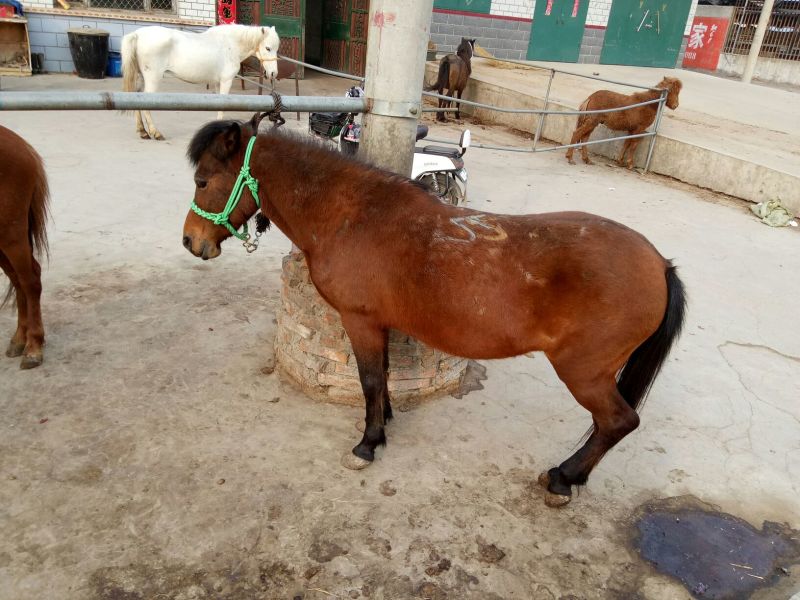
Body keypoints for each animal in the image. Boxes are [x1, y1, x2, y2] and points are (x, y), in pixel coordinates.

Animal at [121, 24, 280, 141]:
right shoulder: (226, 81)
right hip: (152, 78)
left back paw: (143, 131)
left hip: (140, 78)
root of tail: (137, 34)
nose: (273, 73)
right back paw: (155, 132)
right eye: (268, 48)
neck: (231, 44)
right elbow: (222, 107)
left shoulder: (217, 83)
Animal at [181, 114, 686, 507]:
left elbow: (369, 379)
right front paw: (384, 421)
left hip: (585, 371)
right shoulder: (378, 324)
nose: (191, 241)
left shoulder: (359, 320)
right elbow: (382, 376)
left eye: (203, 181)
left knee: (618, 422)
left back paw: (563, 478)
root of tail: (659, 264)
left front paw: (368, 443)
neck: (350, 216)